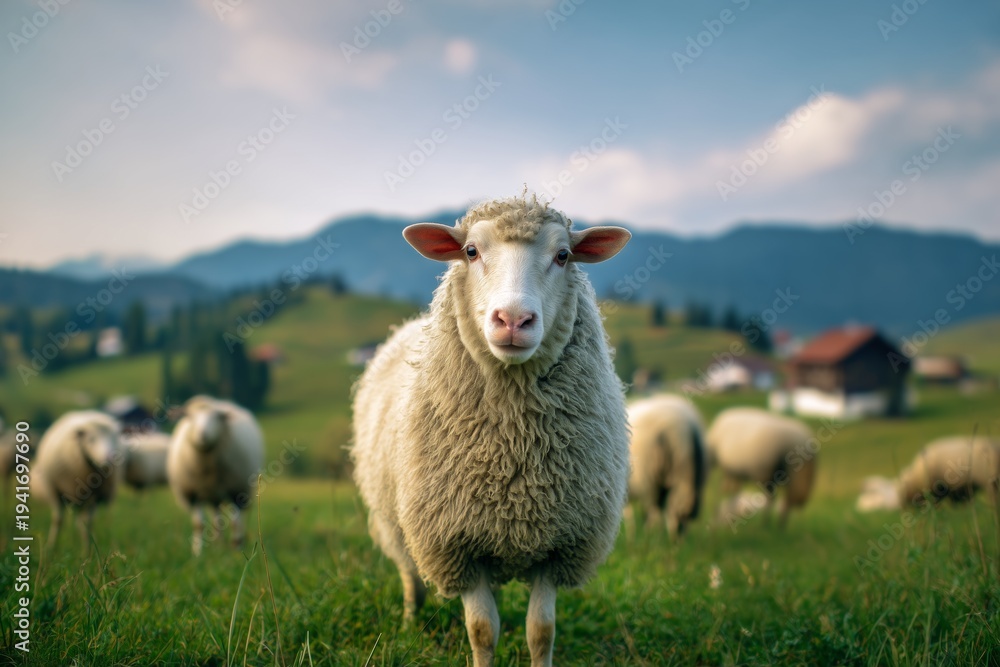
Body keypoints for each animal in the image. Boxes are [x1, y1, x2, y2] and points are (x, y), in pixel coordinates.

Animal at [31, 410, 123, 550]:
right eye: (91, 439)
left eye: (113, 439)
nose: (109, 459)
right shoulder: (54, 491)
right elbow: (58, 520)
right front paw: (51, 547)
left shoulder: (93, 496)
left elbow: (87, 523)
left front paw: (88, 551)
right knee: (65, 520)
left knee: (82, 523)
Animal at [166, 396, 264, 556]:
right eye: (189, 415)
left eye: (218, 417)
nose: (203, 435)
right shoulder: (192, 494)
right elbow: (198, 525)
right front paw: (197, 553)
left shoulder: (235, 490)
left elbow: (235, 524)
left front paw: (236, 552)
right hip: (214, 497)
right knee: (217, 521)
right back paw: (219, 547)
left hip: (243, 490)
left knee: (240, 519)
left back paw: (237, 543)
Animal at [351, 195, 631, 667]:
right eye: (470, 251)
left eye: (563, 255)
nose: (514, 320)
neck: (512, 450)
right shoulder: (456, 546)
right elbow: (482, 631)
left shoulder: (560, 545)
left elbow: (541, 631)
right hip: (397, 524)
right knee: (409, 576)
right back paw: (409, 622)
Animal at [624, 394, 707, 540]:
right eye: (677, 513)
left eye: (689, 519)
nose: (677, 541)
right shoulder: (651, 485)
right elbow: (653, 513)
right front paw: (651, 537)